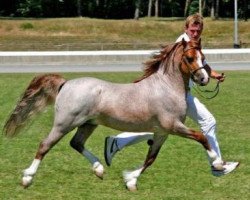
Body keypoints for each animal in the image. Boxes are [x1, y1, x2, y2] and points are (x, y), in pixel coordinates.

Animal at [3, 39, 219, 191]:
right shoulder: (173, 126)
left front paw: (131, 181)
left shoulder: (161, 132)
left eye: (203, 57)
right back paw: (27, 178)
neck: (165, 88)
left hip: (88, 124)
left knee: (76, 143)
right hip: (64, 124)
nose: (204, 78)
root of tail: (66, 83)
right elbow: (201, 137)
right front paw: (217, 162)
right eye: (189, 58)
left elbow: (150, 158)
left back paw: (99, 169)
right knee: (45, 145)